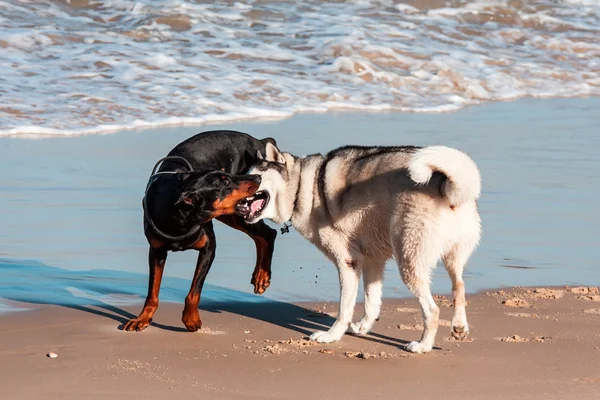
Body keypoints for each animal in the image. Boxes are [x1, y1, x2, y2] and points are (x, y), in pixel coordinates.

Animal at [126, 130, 278, 332]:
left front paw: (191, 319)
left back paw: (262, 276)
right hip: (231, 215)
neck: (181, 218)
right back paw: (259, 276)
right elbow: (152, 291)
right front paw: (142, 318)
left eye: (226, 176)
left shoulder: (208, 248)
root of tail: (259, 141)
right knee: (263, 234)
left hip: (234, 215)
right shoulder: (157, 251)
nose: (258, 178)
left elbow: (194, 291)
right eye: (224, 182)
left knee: (268, 234)